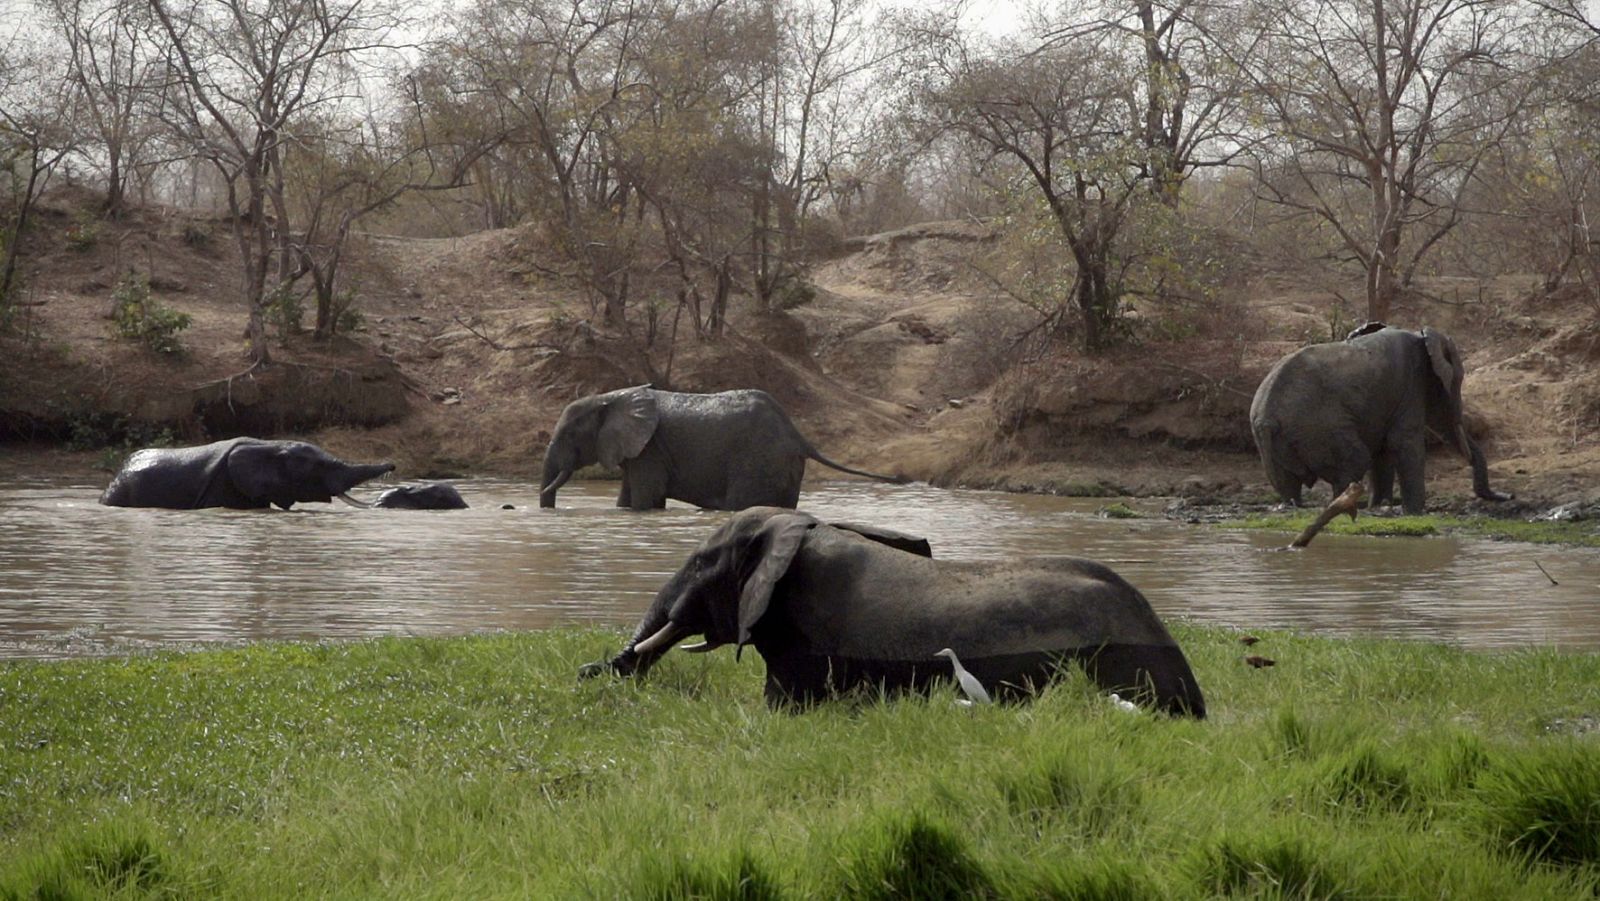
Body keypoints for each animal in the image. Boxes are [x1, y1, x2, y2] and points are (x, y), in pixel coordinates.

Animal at [540, 387, 908, 515]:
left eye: (570, 434)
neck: (611, 397)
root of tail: (798, 436)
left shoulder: (651, 450)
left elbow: (646, 499)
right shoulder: (637, 449)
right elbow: (627, 498)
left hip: (757, 461)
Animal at [1248, 326, 1510, 518]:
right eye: (1456, 382)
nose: (1509, 497)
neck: (1422, 334)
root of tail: (1265, 415)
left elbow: (1384, 451)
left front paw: (1380, 506)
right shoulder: (1410, 385)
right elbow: (1403, 444)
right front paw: (1414, 513)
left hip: (1275, 439)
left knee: (1287, 482)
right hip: (1317, 426)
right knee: (1356, 458)